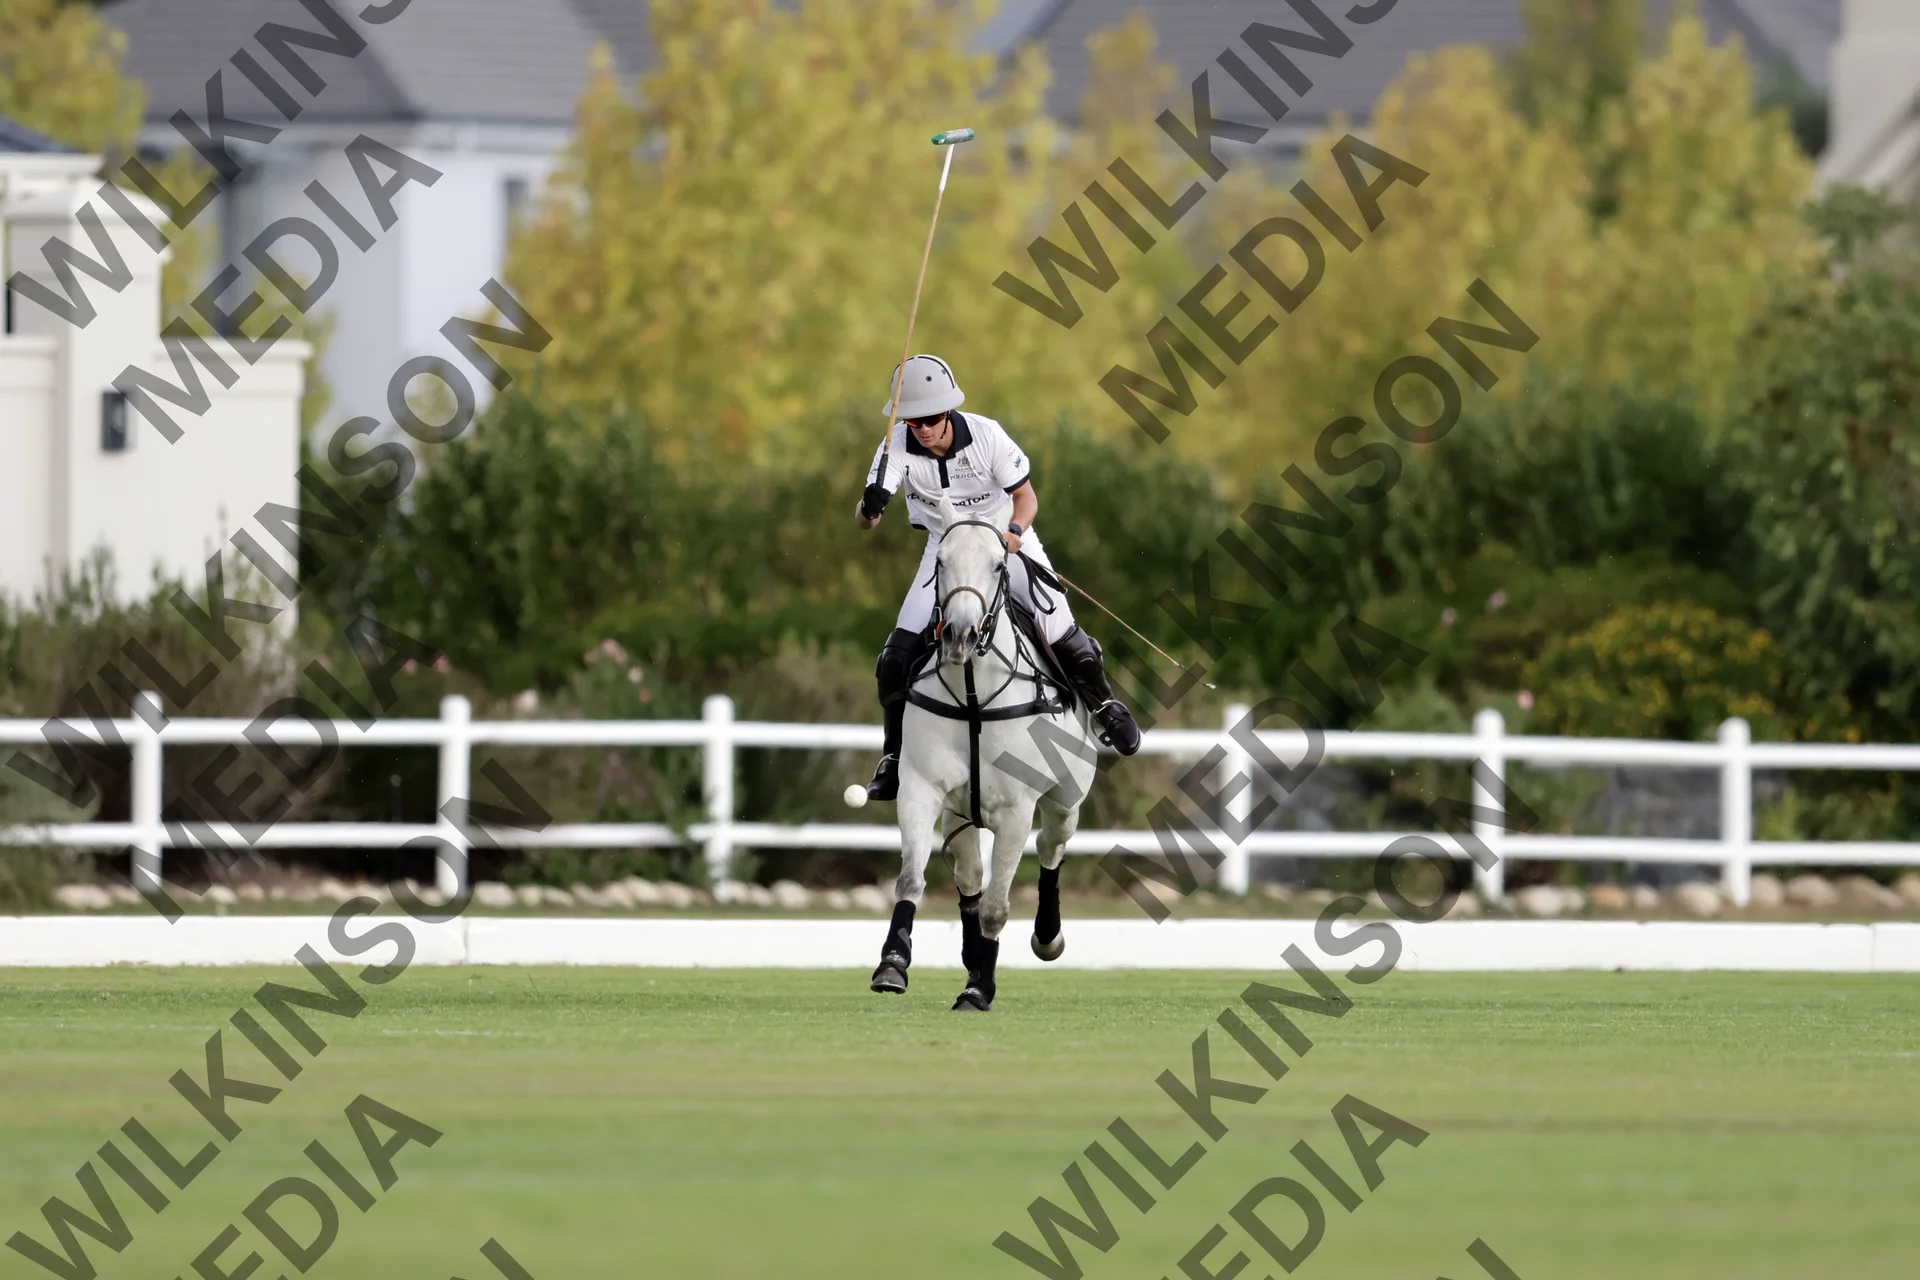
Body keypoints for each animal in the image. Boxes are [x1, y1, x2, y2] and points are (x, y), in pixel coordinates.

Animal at [869, 493, 1101, 1010]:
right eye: (939, 561)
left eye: (999, 564)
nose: (959, 635)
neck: (974, 696)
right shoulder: (920, 791)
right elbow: (912, 879)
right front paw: (893, 964)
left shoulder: (1017, 809)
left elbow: (997, 907)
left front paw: (979, 990)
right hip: (961, 812)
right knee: (971, 873)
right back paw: (972, 955)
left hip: (1067, 799)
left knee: (1050, 846)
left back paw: (1046, 937)